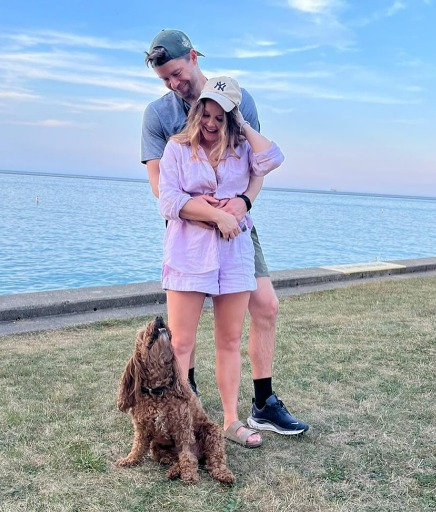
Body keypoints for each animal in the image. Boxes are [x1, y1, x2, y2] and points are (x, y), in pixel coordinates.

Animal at [116, 316, 235, 484]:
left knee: (214, 459)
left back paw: (223, 474)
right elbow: (137, 447)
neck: (158, 391)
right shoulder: (142, 429)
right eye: (143, 332)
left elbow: (186, 455)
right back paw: (173, 471)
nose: (159, 317)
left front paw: (189, 475)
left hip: (212, 432)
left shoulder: (183, 428)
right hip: (157, 448)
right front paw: (129, 459)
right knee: (173, 459)